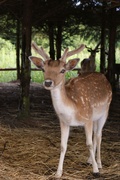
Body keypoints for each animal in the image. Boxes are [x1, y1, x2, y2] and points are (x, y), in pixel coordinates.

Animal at [28, 42, 112, 179]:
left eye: (62, 70)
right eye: (43, 69)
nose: (48, 82)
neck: (73, 109)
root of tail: (104, 77)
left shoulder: (87, 118)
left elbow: (88, 143)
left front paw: (95, 170)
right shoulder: (64, 122)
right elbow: (63, 146)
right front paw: (58, 173)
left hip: (104, 112)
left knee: (99, 135)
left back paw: (99, 163)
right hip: (95, 117)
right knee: (95, 134)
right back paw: (90, 160)